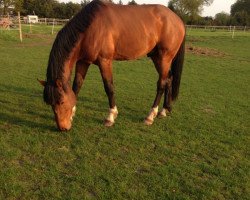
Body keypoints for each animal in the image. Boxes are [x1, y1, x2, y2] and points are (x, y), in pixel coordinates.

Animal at [38, 0, 185, 132]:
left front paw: (110, 117)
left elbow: (109, 87)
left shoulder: (105, 61)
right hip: (156, 57)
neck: (91, 28)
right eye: (50, 103)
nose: (63, 128)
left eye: (61, 101)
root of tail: (178, 20)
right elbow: (77, 86)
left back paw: (150, 116)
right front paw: (73, 113)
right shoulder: (83, 62)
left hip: (164, 58)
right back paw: (164, 110)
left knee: (161, 83)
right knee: (169, 79)